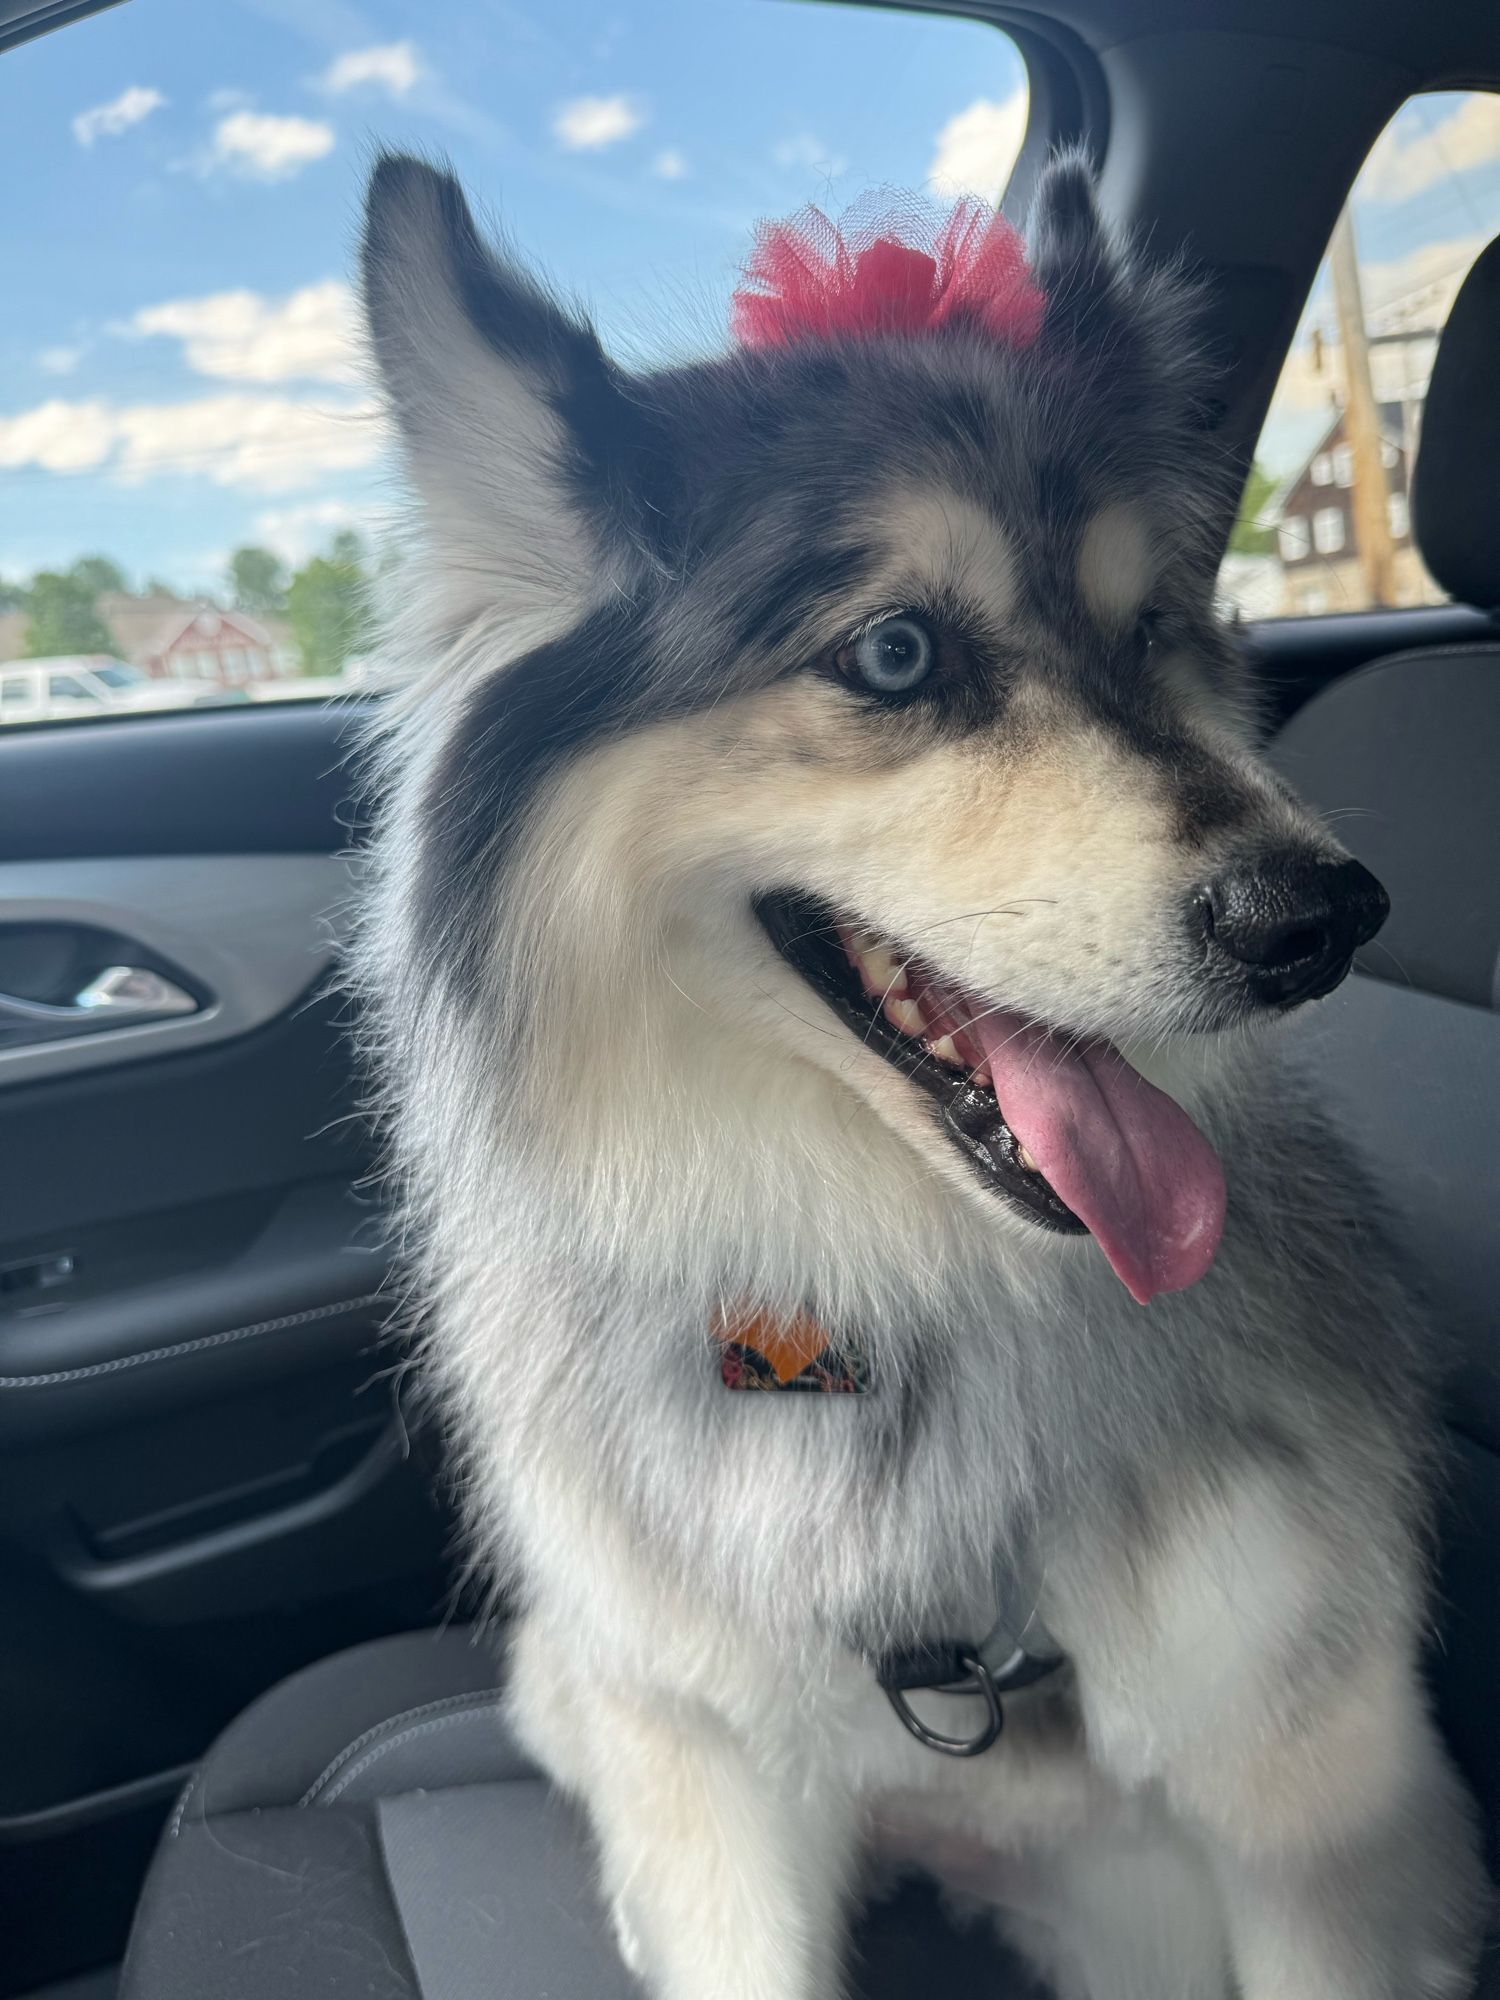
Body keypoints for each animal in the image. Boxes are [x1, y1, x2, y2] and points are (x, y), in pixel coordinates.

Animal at [356, 156, 1496, 2000]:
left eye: (1151, 626)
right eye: (896, 654)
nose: (1320, 921)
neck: (894, 1277)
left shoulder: (1317, 1794)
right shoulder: (706, 1763)